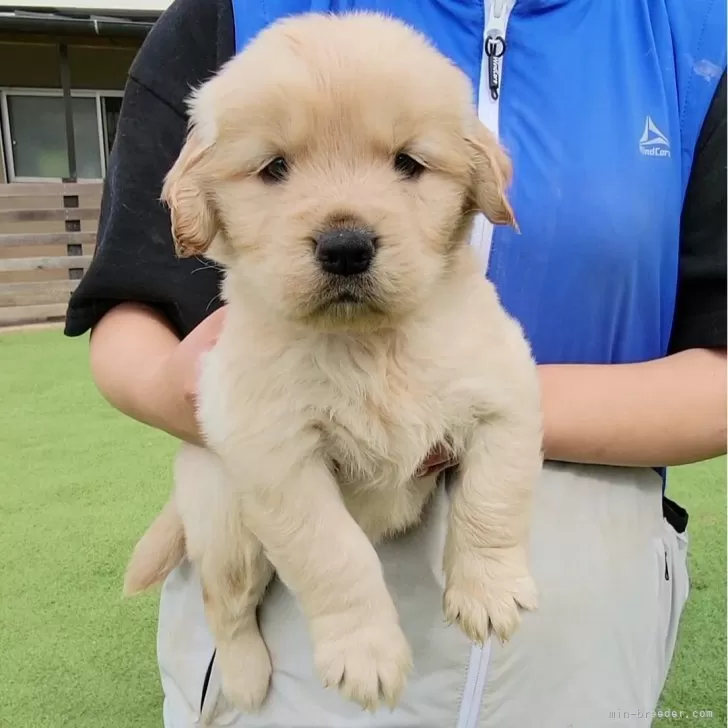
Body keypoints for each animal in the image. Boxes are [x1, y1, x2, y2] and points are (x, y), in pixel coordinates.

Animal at [125, 9, 544, 716]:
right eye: (274, 168)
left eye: (408, 162)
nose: (346, 247)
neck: (368, 344)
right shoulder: (278, 458)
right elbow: (335, 555)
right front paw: (365, 655)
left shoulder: (506, 393)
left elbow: (493, 498)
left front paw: (488, 592)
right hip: (228, 519)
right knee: (223, 602)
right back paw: (244, 676)